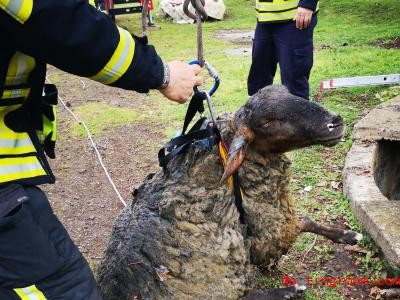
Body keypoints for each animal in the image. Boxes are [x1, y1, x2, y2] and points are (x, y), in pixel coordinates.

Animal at [97, 85, 362, 300]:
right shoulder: (266, 232)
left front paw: (347, 235)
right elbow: (299, 225)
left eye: (289, 92)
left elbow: (307, 220)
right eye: (267, 122)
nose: (335, 122)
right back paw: (290, 291)